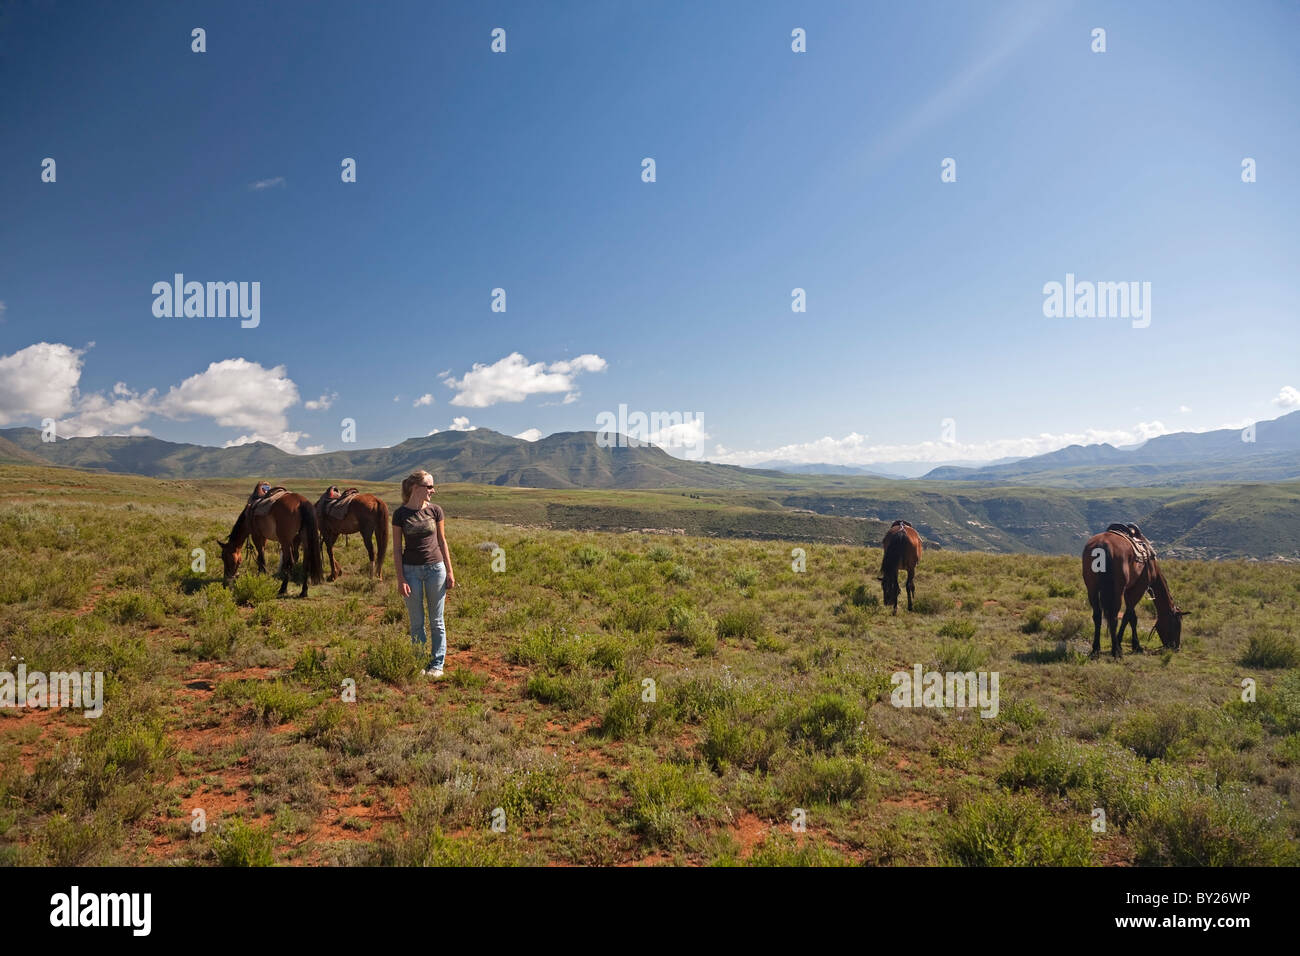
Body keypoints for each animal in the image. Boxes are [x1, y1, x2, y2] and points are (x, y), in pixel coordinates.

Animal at [1076, 528, 1190, 660]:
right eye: (1177, 625)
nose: (1176, 647)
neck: (1152, 567)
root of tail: (1102, 545)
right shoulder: (1138, 588)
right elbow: (1128, 616)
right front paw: (1126, 644)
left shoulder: (1128, 590)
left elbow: (1132, 617)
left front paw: (1135, 645)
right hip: (1117, 591)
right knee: (1113, 617)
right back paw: (1116, 651)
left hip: (1092, 589)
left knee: (1097, 616)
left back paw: (1095, 650)